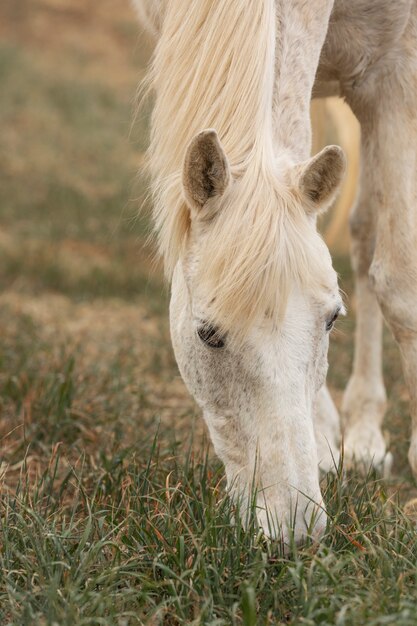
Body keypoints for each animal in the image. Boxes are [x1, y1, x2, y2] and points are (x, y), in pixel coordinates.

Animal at [135, 0, 416, 540]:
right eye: (207, 335)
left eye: (332, 319)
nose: (296, 529)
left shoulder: (396, 72)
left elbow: (401, 284)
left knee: (366, 230)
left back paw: (365, 434)